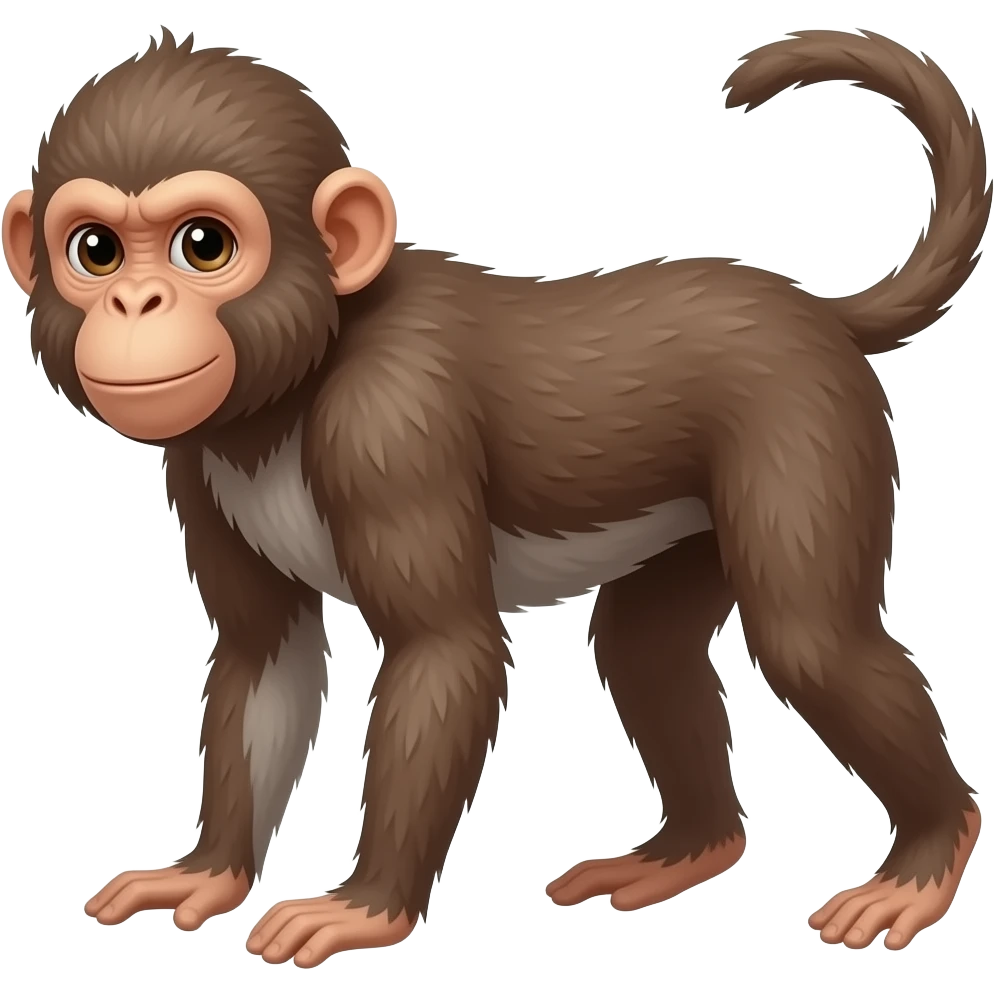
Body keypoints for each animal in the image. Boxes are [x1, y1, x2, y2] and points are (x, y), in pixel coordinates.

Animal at [3, 25, 988, 967]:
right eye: (95, 251)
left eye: (203, 244)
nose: (135, 303)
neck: (296, 381)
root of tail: (817, 312)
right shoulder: (196, 465)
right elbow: (263, 657)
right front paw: (209, 873)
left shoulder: (391, 424)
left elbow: (445, 650)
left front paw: (365, 907)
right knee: (645, 649)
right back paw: (690, 849)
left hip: (805, 422)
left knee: (810, 641)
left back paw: (928, 852)